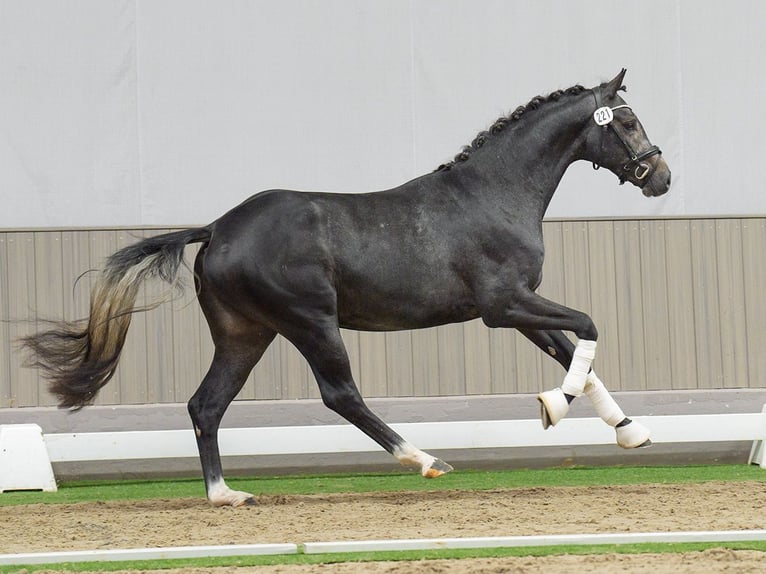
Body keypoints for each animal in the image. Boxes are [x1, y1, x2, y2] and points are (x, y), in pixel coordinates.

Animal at [24, 70, 672, 506]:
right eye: (628, 121)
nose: (661, 177)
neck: (495, 193)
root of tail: (219, 228)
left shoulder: (519, 310)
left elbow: (576, 355)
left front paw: (630, 431)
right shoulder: (504, 305)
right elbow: (587, 328)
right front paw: (553, 408)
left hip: (246, 334)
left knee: (206, 404)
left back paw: (226, 495)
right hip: (310, 322)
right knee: (340, 394)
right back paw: (425, 460)